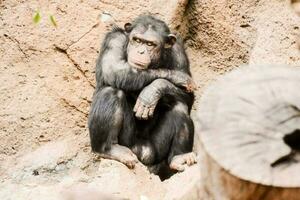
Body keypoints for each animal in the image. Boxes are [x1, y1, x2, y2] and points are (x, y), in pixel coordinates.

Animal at [88, 14, 198, 173]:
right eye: (137, 40)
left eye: (150, 44)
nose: (140, 51)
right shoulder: (114, 39)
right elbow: (113, 68)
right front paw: (178, 77)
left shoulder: (179, 51)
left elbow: (188, 96)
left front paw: (154, 90)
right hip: (130, 145)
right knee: (111, 91)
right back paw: (108, 149)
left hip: (154, 152)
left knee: (179, 104)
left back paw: (180, 157)